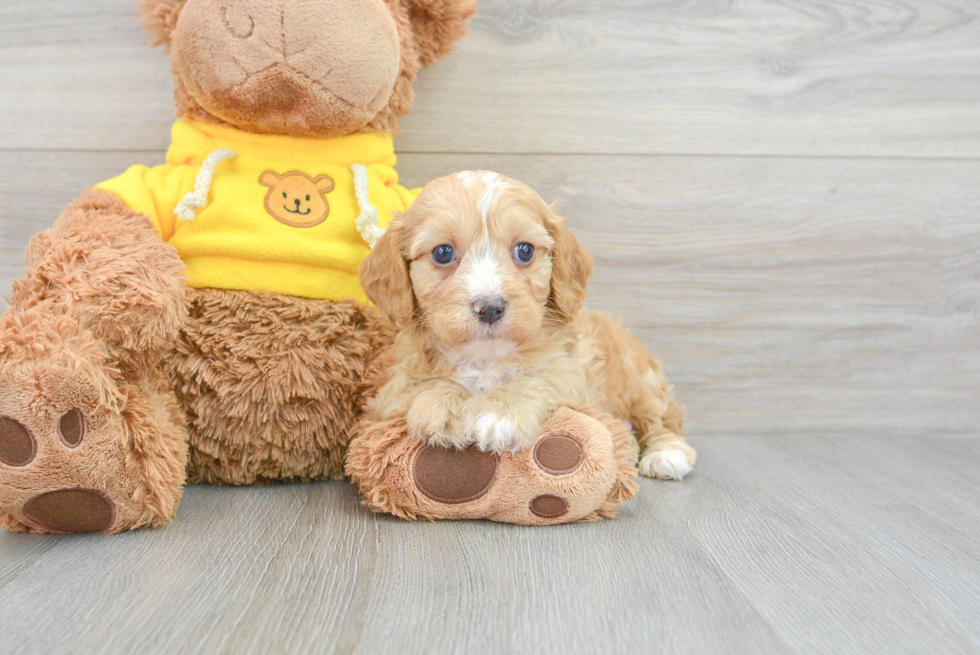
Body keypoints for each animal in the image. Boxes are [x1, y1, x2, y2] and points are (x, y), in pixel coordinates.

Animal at [360, 172, 696, 480]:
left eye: (525, 250)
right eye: (442, 253)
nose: (490, 307)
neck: (484, 357)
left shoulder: (569, 373)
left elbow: (535, 379)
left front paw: (498, 414)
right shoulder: (389, 393)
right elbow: (421, 385)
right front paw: (445, 408)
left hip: (640, 378)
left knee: (662, 417)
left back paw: (666, 453)